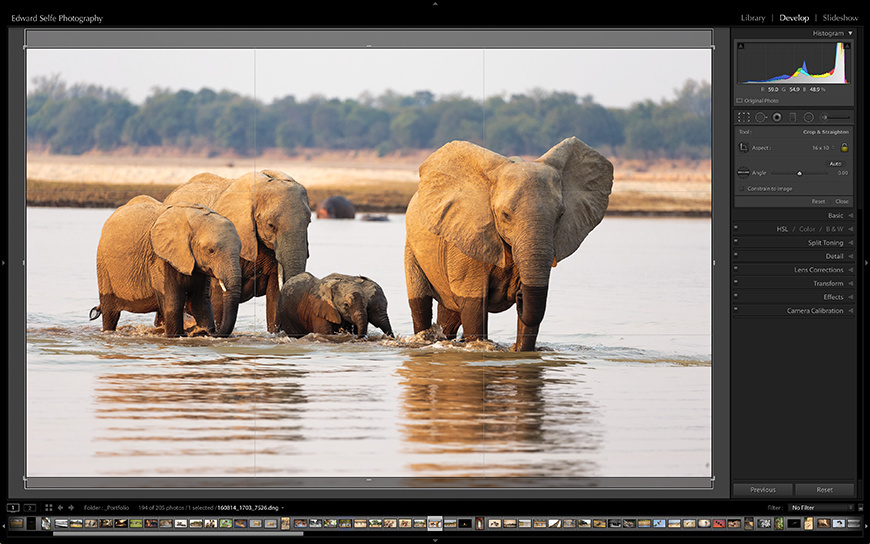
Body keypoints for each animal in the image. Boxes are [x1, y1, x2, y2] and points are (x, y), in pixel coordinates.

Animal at [89, 195, 243, 337]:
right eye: (211, 251)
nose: (210, 332)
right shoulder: (159, 258)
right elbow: (173, 304)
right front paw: (176, 336)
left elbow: (200, 303)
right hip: (102, 264)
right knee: (110, 313)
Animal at [404, 136, 613, 351]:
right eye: (505, 215)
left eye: (560, 215)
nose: (519, 296)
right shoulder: (468, 241)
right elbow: (473, 305)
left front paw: (521, 351)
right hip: (411, 249)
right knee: (421, 304)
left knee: (450, 313)